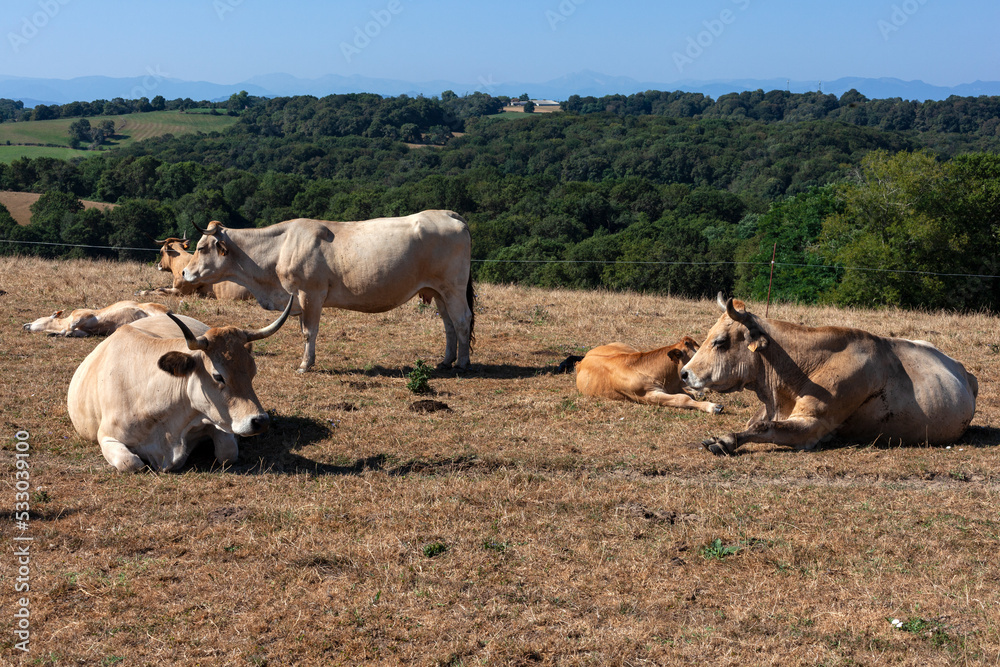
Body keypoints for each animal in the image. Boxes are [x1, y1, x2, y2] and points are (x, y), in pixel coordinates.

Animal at [67, 297, 293, 472]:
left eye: (253, 372)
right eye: (218, 376)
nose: (260, 421)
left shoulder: (219, 421)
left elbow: (227, 453)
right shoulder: (107, 437)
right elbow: (131, 463)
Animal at [181, 210, 475, 373]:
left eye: (202, 248)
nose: (184, 273)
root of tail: (449, 214)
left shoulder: (310, 294)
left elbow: (309, 332)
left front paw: (305, 365)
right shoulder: (298, 299)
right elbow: (304, 331)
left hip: (453, 288)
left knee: (462, 321)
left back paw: (462, 363)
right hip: (438, 291)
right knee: (448, 324)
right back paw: (446, 361)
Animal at [680, 293, 979, 456]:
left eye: (720, 342)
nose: (684, 373)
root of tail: (963, 369)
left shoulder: (813, 423)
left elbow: (763, 427)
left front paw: (724, 440)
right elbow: (757, 423)